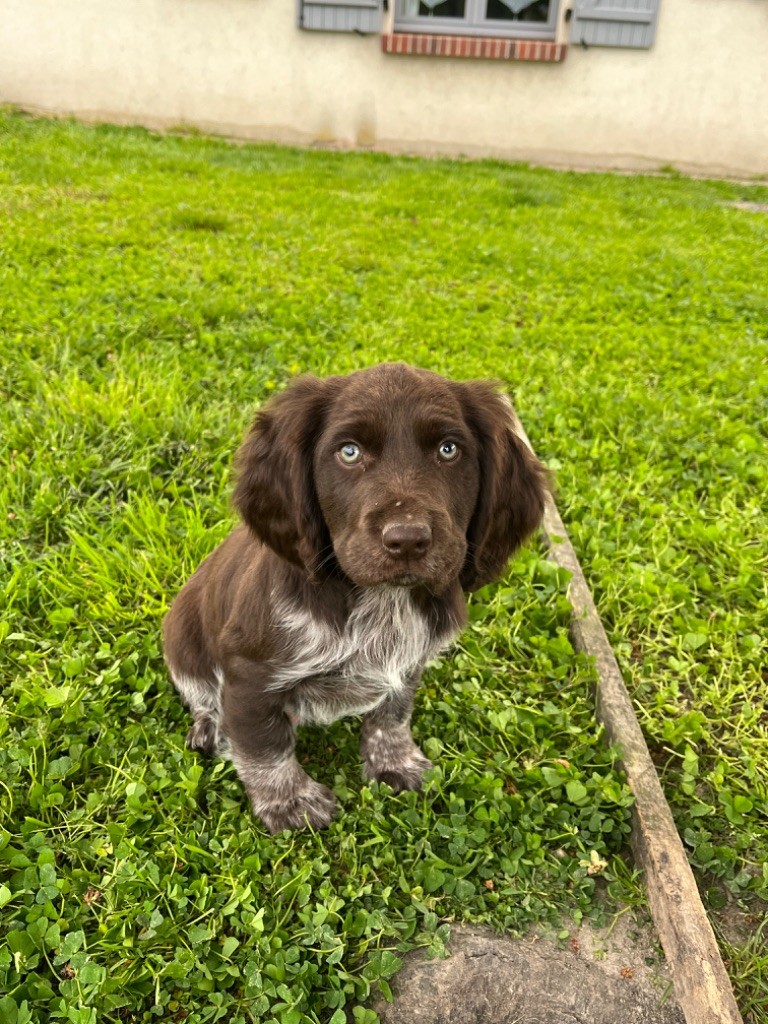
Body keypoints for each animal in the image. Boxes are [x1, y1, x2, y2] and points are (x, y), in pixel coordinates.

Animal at [162, 360, 548, 831]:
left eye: (448, 449)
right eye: (348, 452)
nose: (407, 540)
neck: (380, 601)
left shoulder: (407, 662)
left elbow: (392, 714)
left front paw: (394, 761)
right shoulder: (249, 677)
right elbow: (264, 747)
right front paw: (290, 802)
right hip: (180, 636)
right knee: (199, 692)